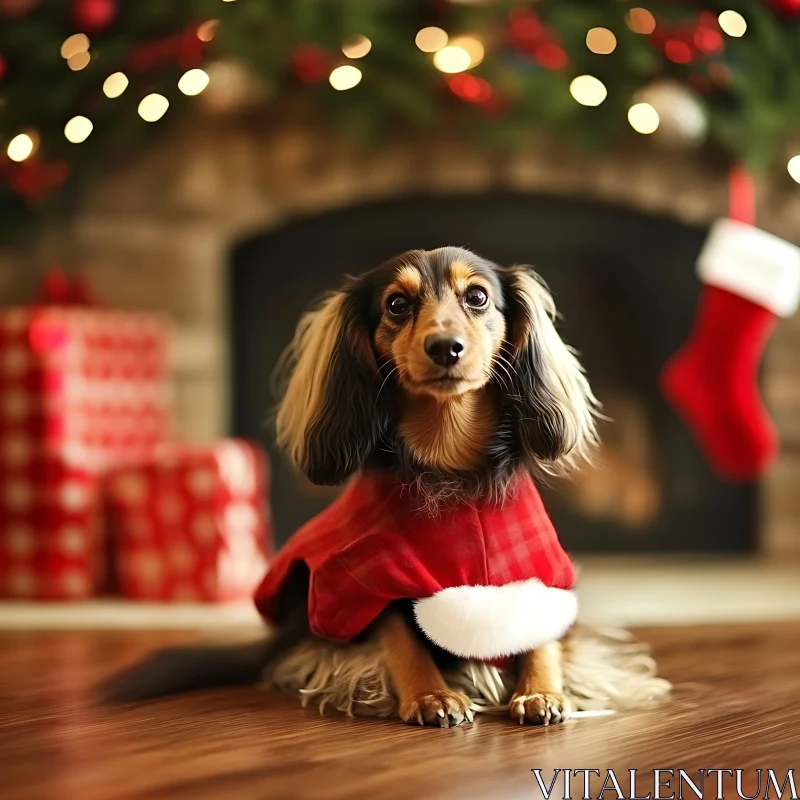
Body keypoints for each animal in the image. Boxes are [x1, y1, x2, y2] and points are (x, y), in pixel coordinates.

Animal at [101, 247, 600, 728]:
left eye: (477, 297)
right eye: (396, 304)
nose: (445, 347)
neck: (449, 466)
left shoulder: (539, 574)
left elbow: (541, 637)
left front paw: (539, 691)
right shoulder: (369, 576)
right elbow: (401, 635)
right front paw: (432, 695)